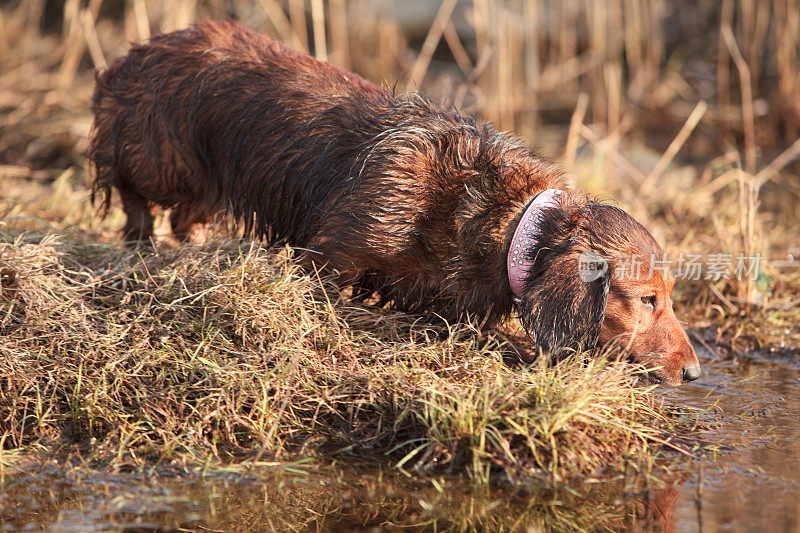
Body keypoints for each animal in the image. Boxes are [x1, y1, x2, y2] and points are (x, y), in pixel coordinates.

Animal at [89, 20, 700, 384]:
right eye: (647, 300)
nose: (695, 374)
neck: (505, 221)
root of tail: (133, 54)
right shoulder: (333, 250)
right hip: (162, 164)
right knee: (132, 196)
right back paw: (143, 246)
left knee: (183, 218)